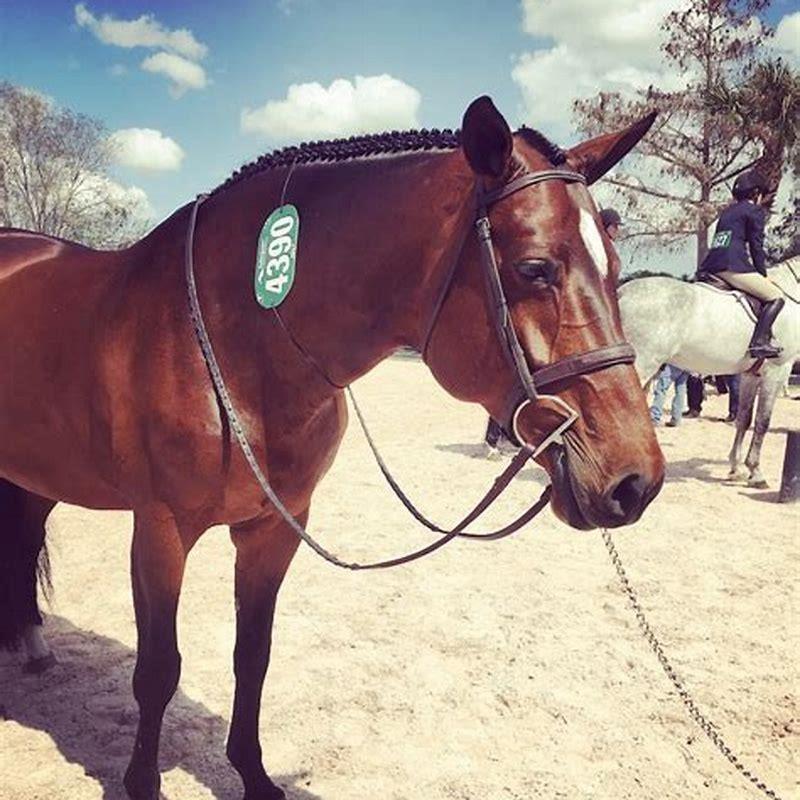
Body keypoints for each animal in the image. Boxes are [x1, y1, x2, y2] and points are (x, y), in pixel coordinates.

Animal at [0, 96, 664, 800]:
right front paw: (142, 782)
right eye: (534, 269)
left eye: (616, 271)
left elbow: (253, 655)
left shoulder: (275, 528)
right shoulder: (160, 532)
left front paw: (253, 774)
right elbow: (157, 670)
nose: (635, 481)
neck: (233, 338)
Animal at [618, 258, 800, 487]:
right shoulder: (776, 371)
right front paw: (756, 472)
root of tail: (622, 293)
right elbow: (762, 422)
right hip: (641, 365)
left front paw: (736, 468)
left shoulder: (750, 375)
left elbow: (744, 419)